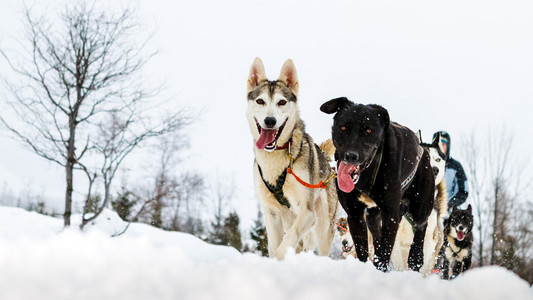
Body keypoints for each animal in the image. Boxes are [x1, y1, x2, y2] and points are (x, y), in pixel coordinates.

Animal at [246, 57, 336, 258]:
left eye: (282, 102)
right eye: (260, 101)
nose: (270, 121)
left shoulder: (307, 212)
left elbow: (287, 242)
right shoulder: (271, 213)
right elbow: (275, 246)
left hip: (323, 227)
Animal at [318, 97, 434, 270]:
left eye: (368, 131)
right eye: (343, 127)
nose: (350, 156)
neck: (368, 173)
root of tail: (423, 149)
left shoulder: (390, 214)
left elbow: (385, 250)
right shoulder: (354, 213)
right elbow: (363, 249)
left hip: (420, 205)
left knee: (421, 226)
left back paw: (416, 258)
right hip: (373, 216)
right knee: (377, 235)